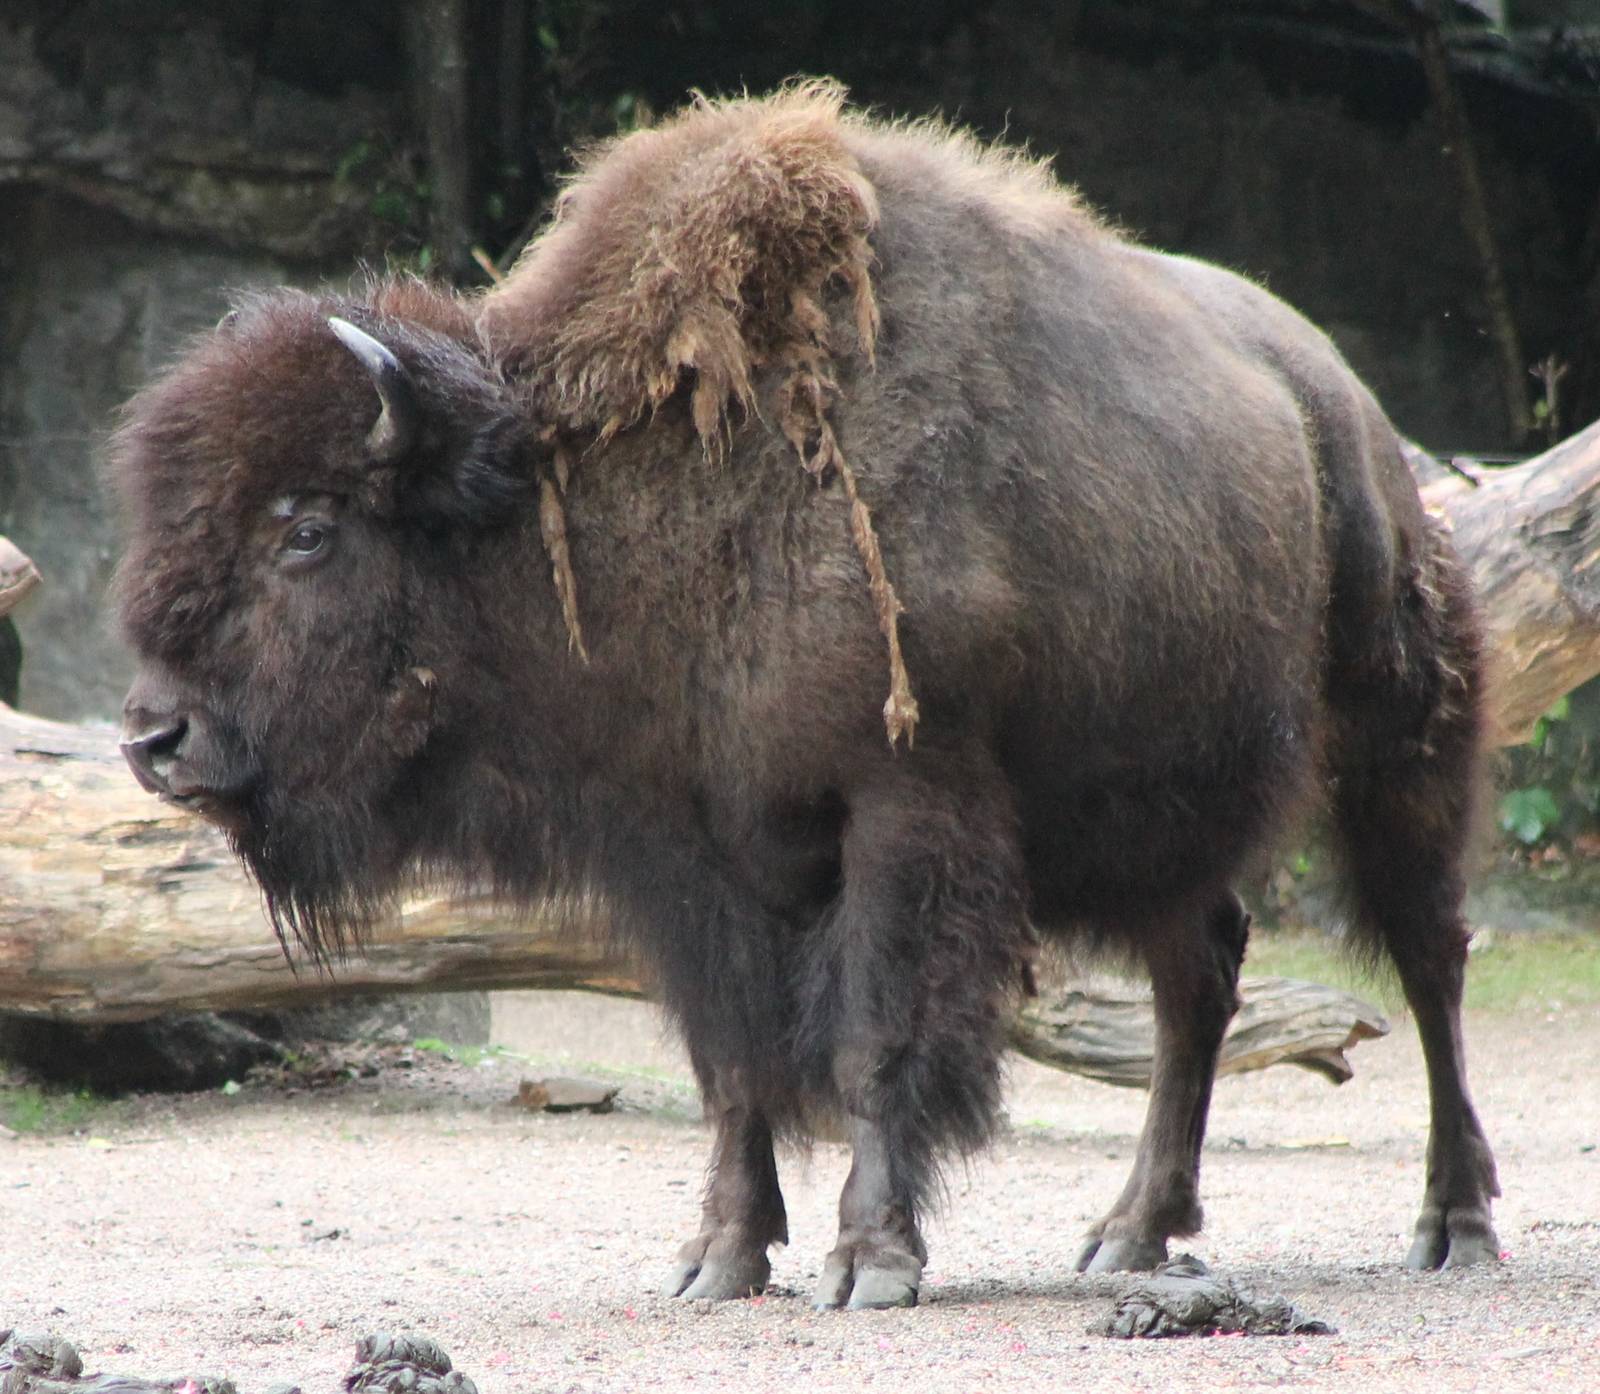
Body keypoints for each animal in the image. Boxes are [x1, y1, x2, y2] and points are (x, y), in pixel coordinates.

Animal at [112, 83, 1499, 1309]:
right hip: (1161, 812)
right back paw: (1129, 1232)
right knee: (1197, 975)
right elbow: (733, 1062)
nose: (155, 735)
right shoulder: (689, 851)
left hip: (1393, 742)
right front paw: (716, 1261)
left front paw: (868, 1263)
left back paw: (1454, 1222)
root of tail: (1341, 404)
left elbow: (871, 1039)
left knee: (1428, 957)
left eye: (307, 529)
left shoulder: (901, 808)